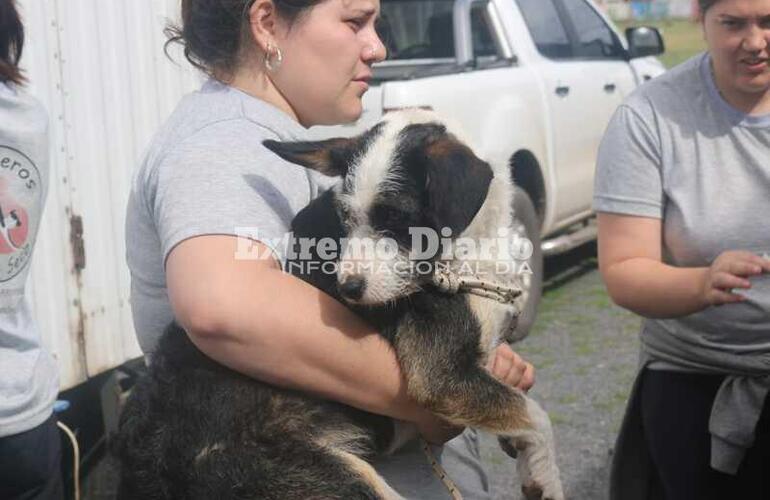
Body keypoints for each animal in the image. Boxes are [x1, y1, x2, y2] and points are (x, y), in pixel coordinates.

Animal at [117, 109, 568, 500]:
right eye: (346, 218)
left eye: (397, 219)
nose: (348, 289)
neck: (467, 251)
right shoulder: (442, 378)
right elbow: (535, 415)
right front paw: (546, 476)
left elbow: (514, 403)